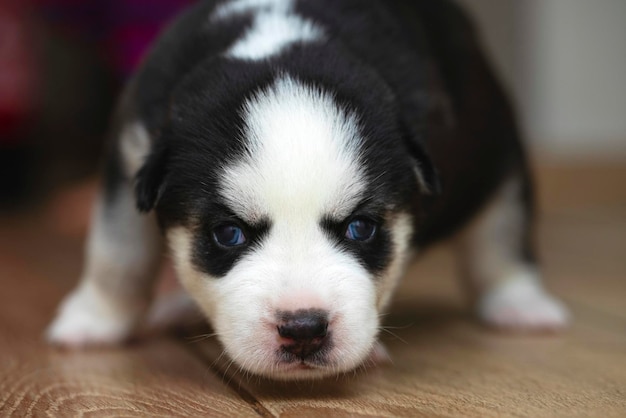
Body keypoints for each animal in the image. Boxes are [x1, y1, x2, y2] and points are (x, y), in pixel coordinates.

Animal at [47, 0, 564, 378]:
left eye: (360, 228)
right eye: (227, 234)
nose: (303, 329)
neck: (282, 44)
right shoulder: (132, 148)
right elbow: (117, 251)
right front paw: (94, 320)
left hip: (496, 151)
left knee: (501, 230)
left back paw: (521, 303)